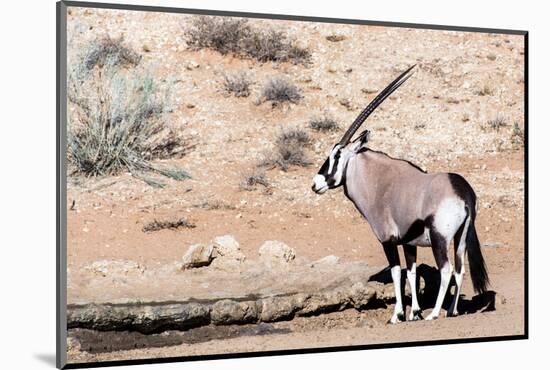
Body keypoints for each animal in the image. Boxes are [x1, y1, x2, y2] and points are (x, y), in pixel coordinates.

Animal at [314, 66, 492, 324]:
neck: (378, 181)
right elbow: (412, 273)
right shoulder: (409, 242)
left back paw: (435, 314)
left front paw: (397, 315)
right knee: (460, 270)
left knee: (447, 269)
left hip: (440, 238)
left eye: (336, 155)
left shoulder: (388, 240)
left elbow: (397, 273)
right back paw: (452, 311)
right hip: (460, 239)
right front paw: (414, 312)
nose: (315, 183)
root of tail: (463, 191)